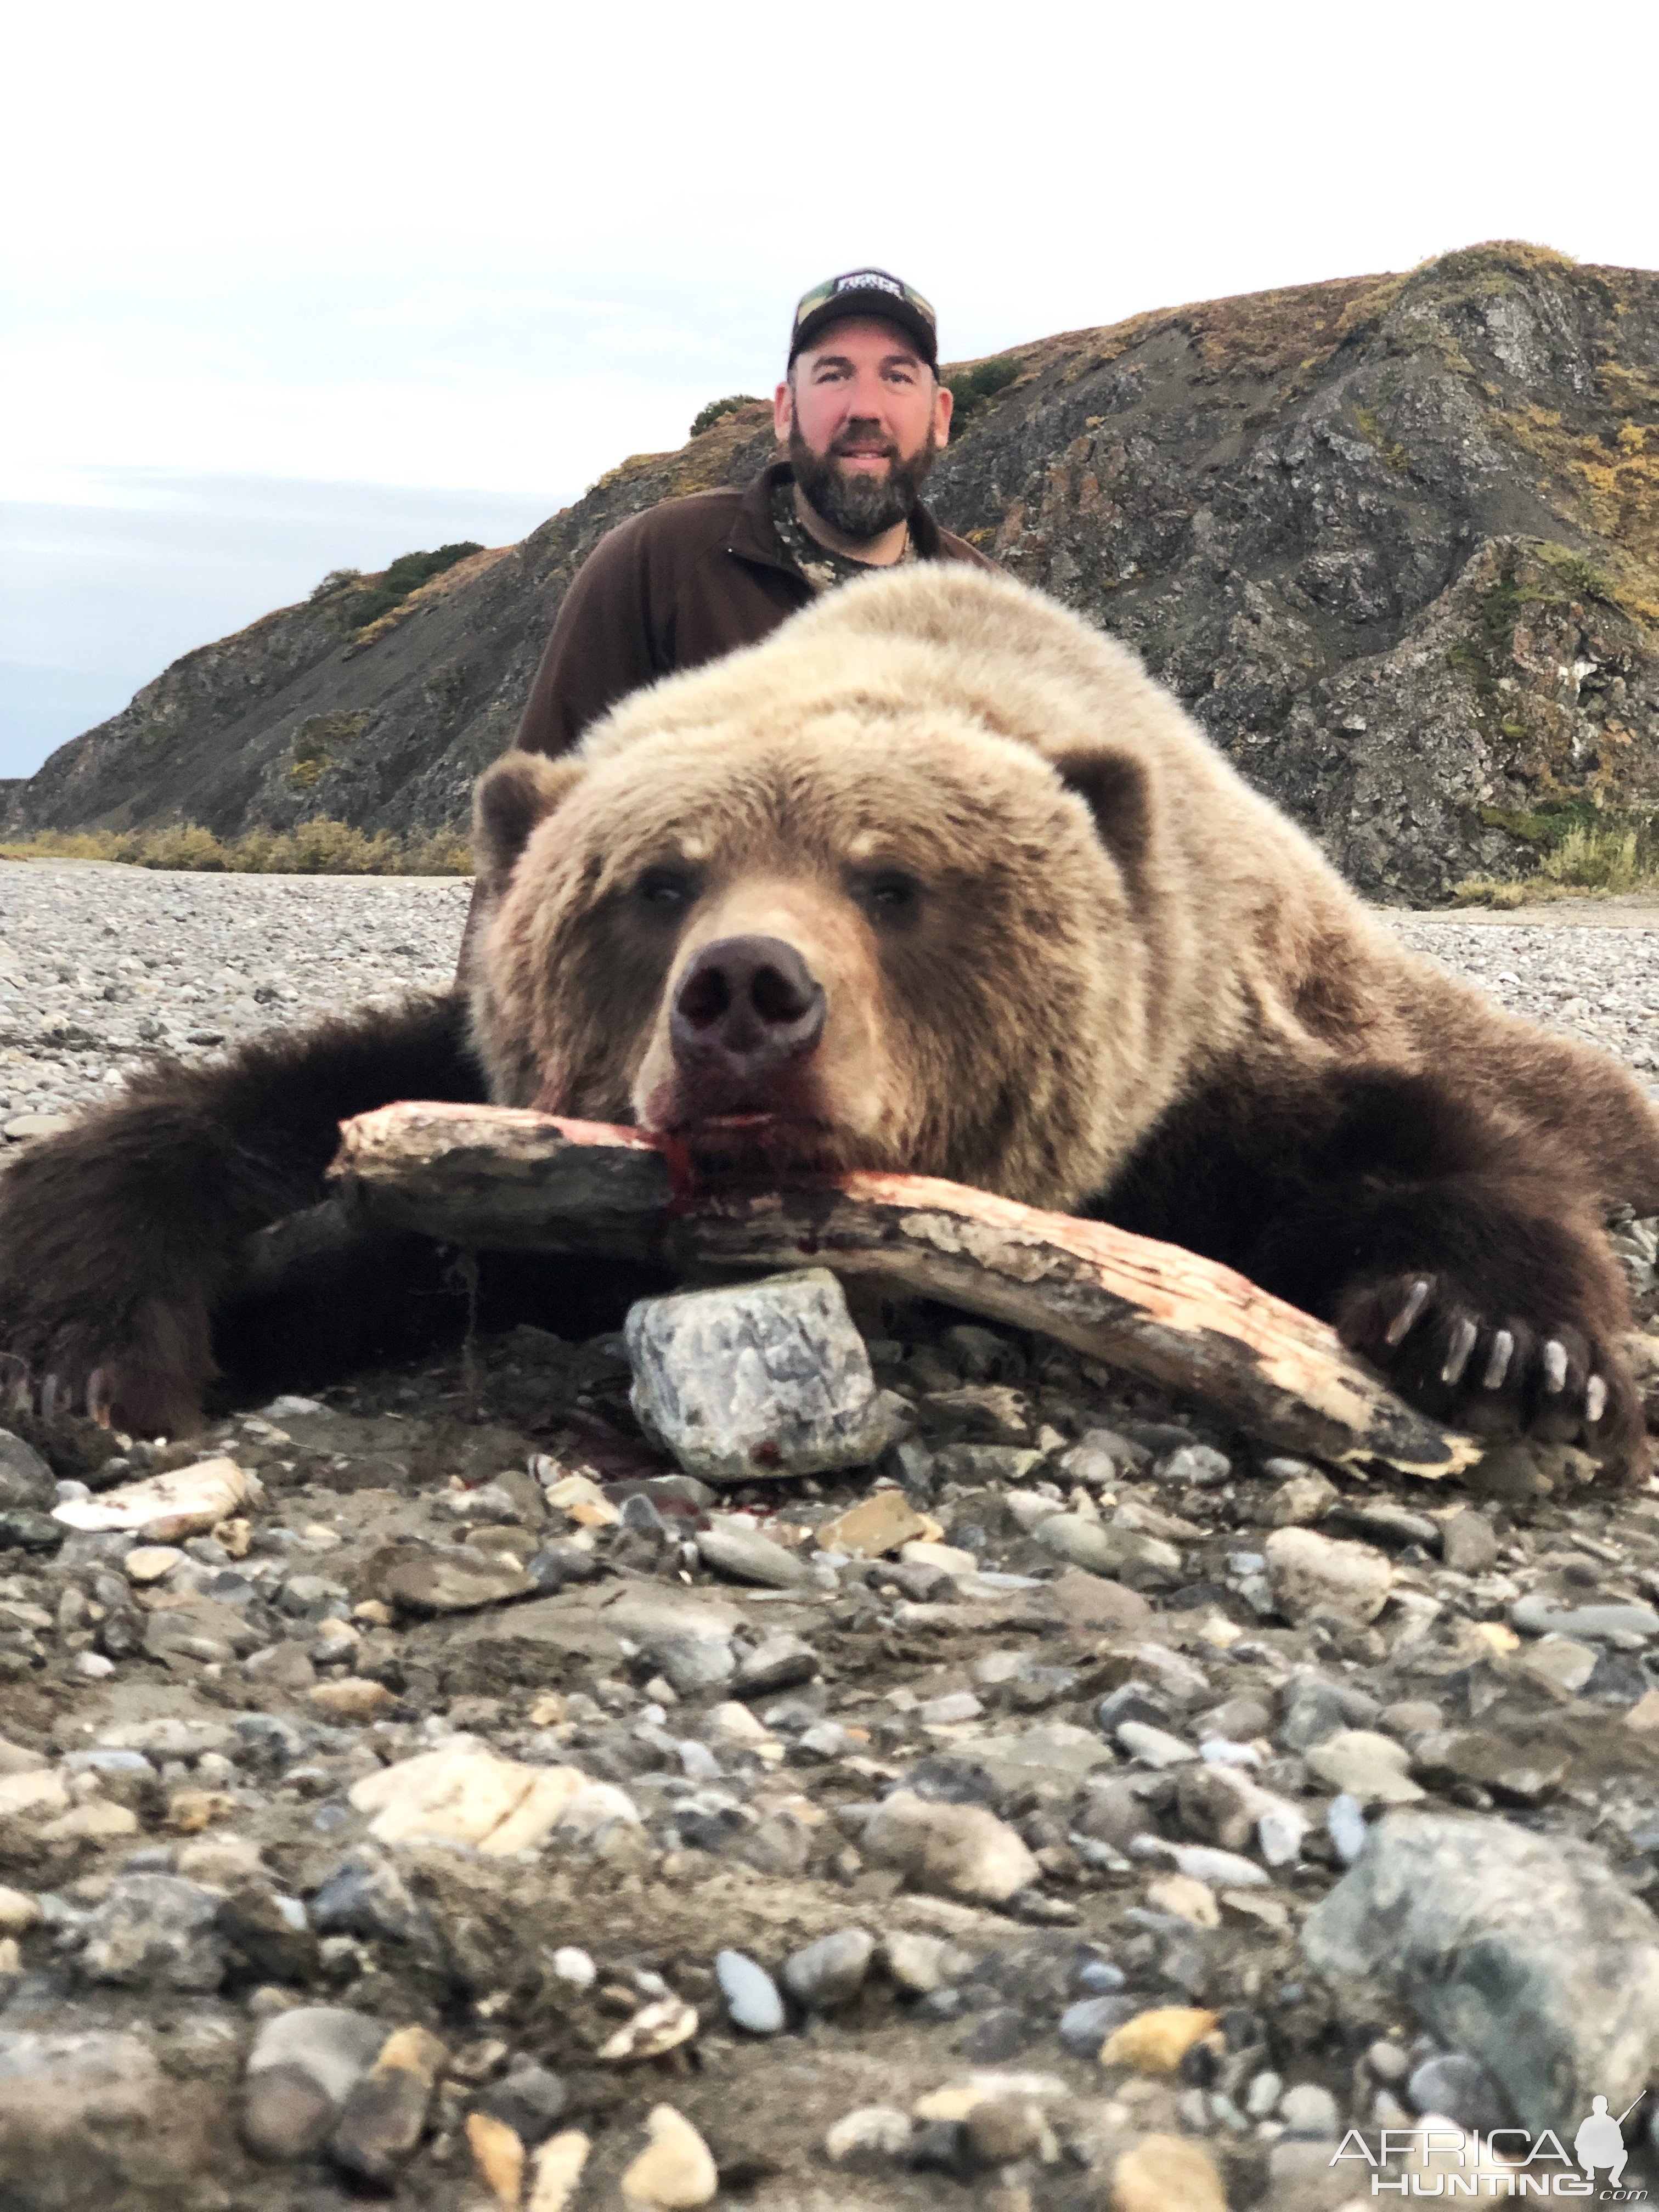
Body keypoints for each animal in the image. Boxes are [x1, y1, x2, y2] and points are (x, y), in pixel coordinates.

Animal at [3, 571, 1659, 1469]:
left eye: (892, 882)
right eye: (661, 883)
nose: (748, 994)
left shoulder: (1194, 1072)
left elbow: (1394, 1146)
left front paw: (1500, 1340)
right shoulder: (472, 1082)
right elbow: (239, 1123)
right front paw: (97, 1348)